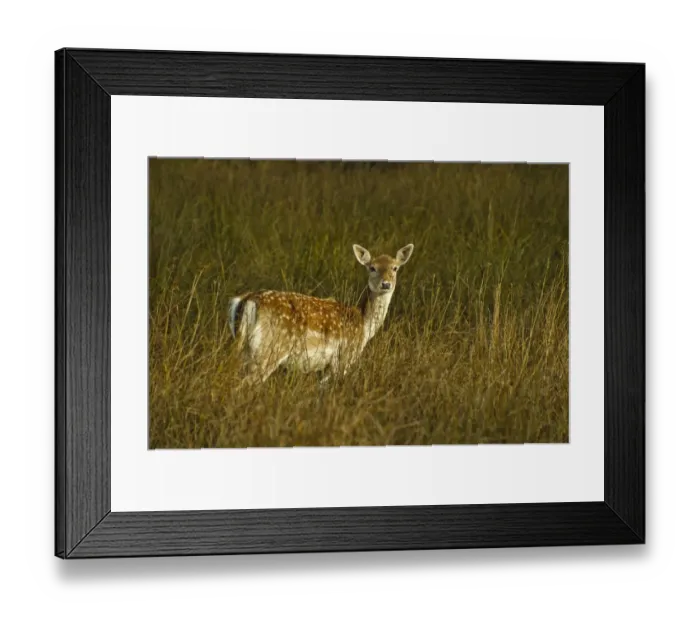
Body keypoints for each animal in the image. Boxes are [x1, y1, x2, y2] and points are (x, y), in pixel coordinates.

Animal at [228, 243, 414, 386]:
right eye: (372, 268)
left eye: (395, 268)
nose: (386, 284)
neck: (364, 325)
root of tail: (248, 299)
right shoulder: (343, 358)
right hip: (268, 350)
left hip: (245, 347)